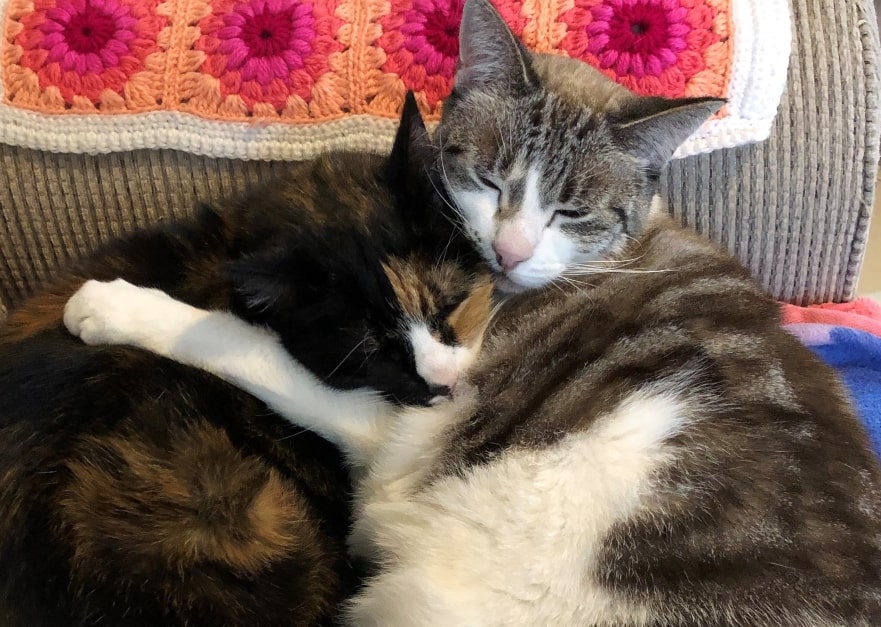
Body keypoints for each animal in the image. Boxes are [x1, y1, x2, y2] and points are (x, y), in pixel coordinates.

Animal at [60, 0, 880, 624]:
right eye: (487, 178)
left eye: (571, 211)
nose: (510, 250)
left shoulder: (413, 419)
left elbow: (257, 351)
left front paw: (116, 304)